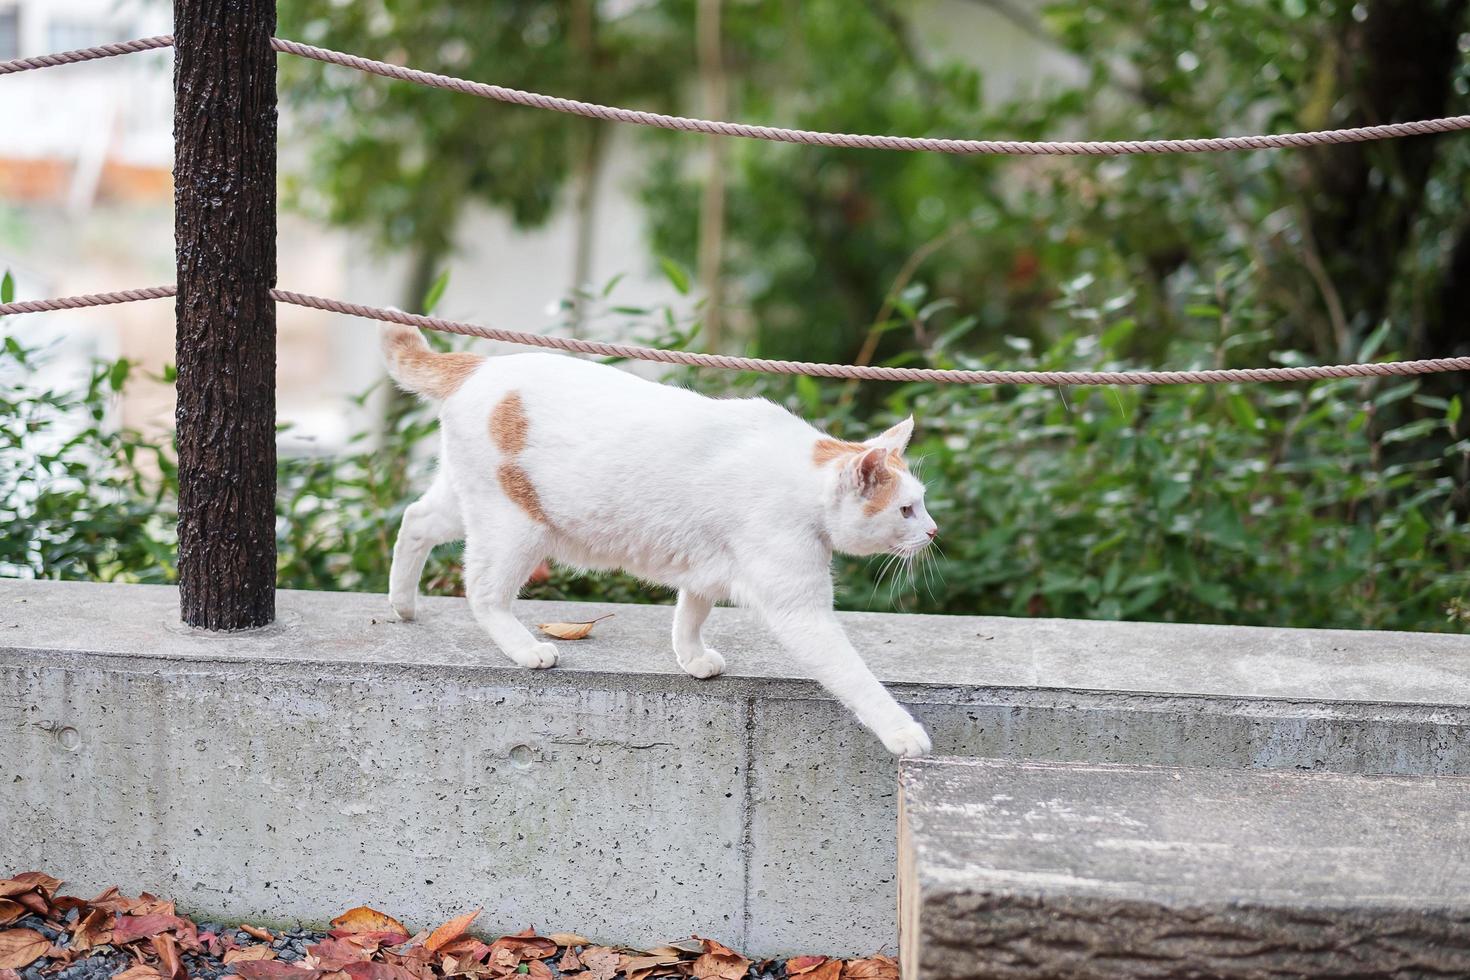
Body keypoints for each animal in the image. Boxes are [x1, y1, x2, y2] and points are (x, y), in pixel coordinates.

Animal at [385, 323, 934, 758]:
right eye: (905, 509)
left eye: (922, 503)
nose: (932, 531)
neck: (803, 481)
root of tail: (479, 365)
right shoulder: (800, 610)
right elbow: (854, 674)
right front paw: (902, 731)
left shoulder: (706, 564)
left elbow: (690, 614)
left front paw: (692, 658)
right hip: (515, 525)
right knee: (482, 591)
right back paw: (524, 648)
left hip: (467, 501)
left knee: (414, 520)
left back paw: (402, 604)